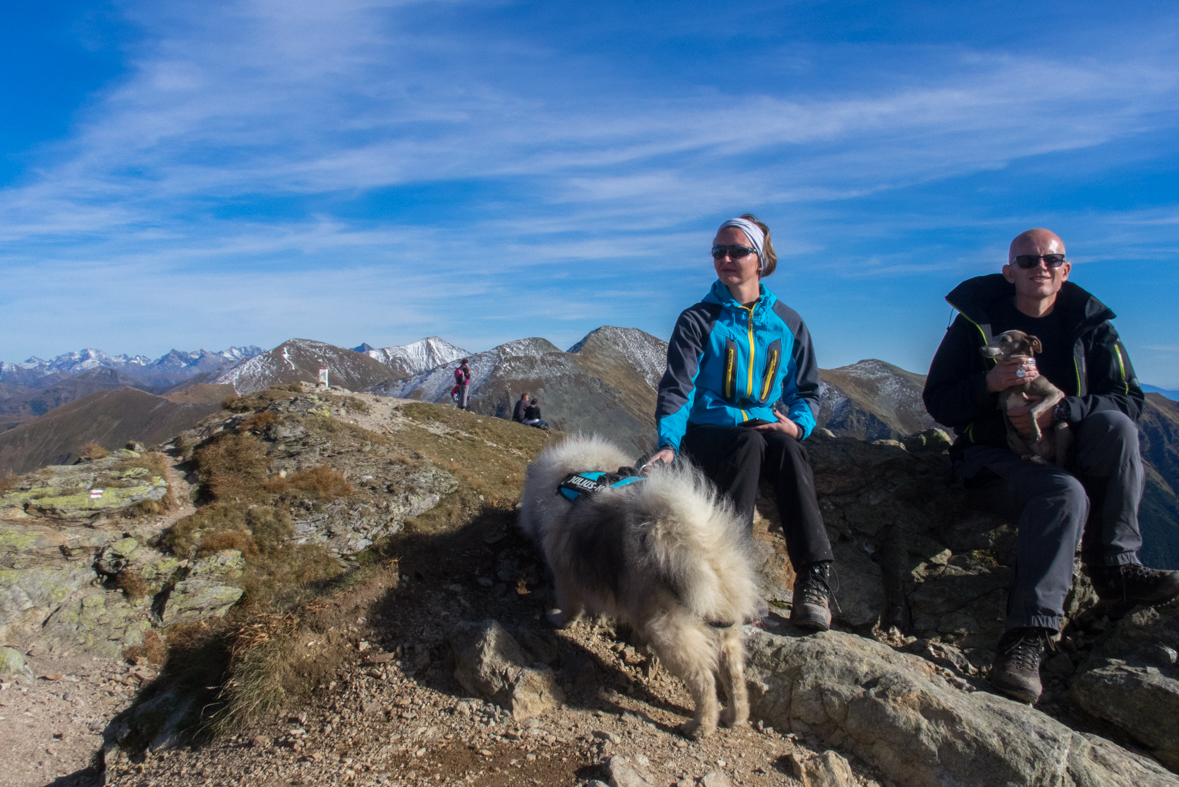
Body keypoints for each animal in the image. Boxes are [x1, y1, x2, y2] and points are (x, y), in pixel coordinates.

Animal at [518, 435, 759, 739]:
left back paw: (700, 726)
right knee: (735, 676)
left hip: (666, 630)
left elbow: (569, 604)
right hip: (727, 632)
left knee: (703, 679)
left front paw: (560, 620)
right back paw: (735, 716)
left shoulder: (564, 572)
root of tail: (707, 552)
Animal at [980, 327, 1075, 464]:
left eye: (1004, 339)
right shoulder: (1005, 411)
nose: (982, 348)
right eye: (994, 338)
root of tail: (1044, 455)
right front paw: (1024, 452)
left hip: (1061, 428)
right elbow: (1012, 433)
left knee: (1059, 461)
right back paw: (1032, 457)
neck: (1016, 383)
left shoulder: (1055, 393)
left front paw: (1036, 433)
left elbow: (1032, 410)